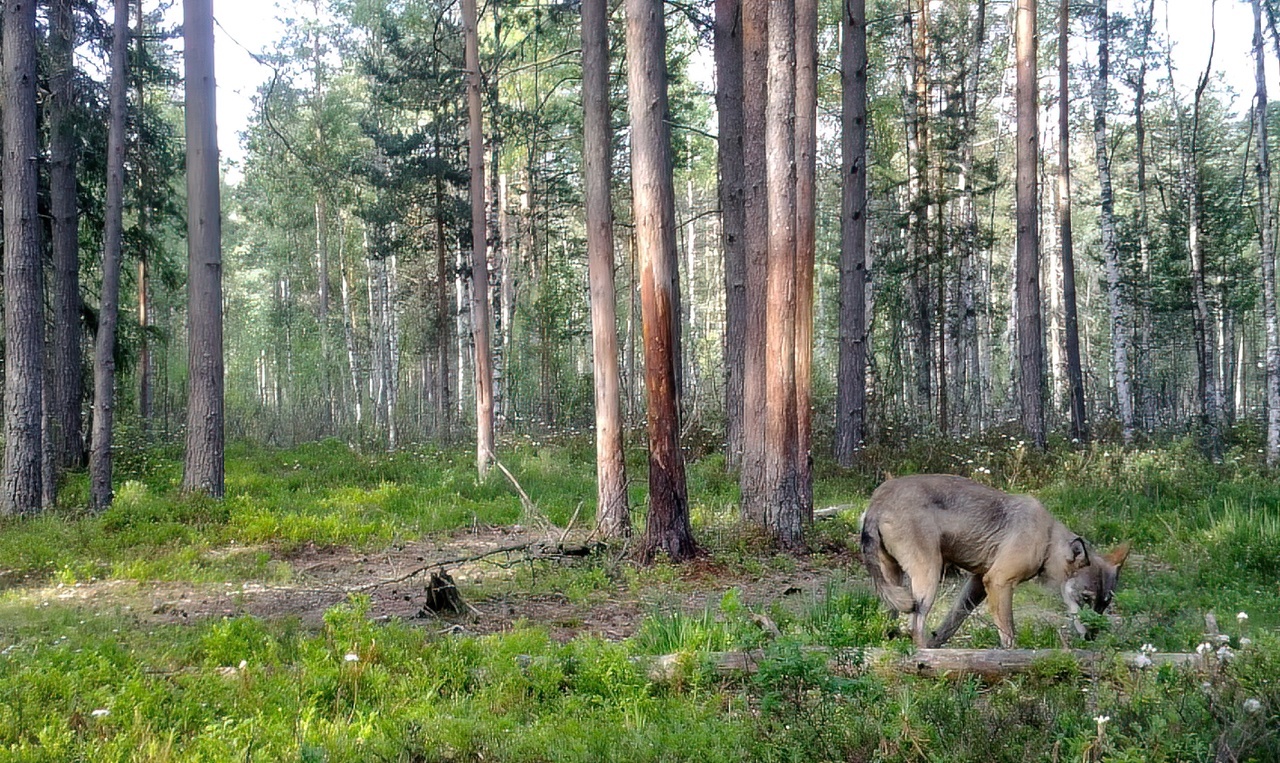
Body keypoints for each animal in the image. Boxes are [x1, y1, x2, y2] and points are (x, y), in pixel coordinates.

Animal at [860, 473, 1131, 647]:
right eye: (1085, 599)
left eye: (1104, 605)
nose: (1092, 637)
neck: (1047, 539)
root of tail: (877, 501)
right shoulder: (999, 582)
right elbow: (1009, 634)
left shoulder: (978, 584)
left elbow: (951, 624)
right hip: (929, 579)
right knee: (915, 628)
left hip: (895, 584)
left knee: (891, 623)